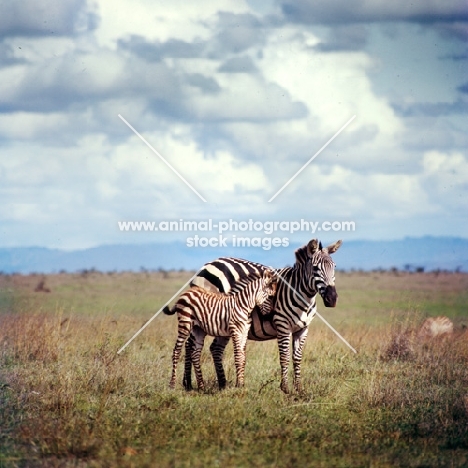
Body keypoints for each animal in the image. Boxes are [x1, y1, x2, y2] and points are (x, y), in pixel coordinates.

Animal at [187, 239, 344, 394]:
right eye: (316, 268)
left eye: (334, 267)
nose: (332, 299)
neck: (302, 295)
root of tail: (208, 264)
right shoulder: (283, 326)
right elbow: (285, 357)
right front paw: (285, 389)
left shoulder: (303, 329)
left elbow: (297, 358)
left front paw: (299, 389)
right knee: (191, 346)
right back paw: (188, 384)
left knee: (215, 349)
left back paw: (222, 384)